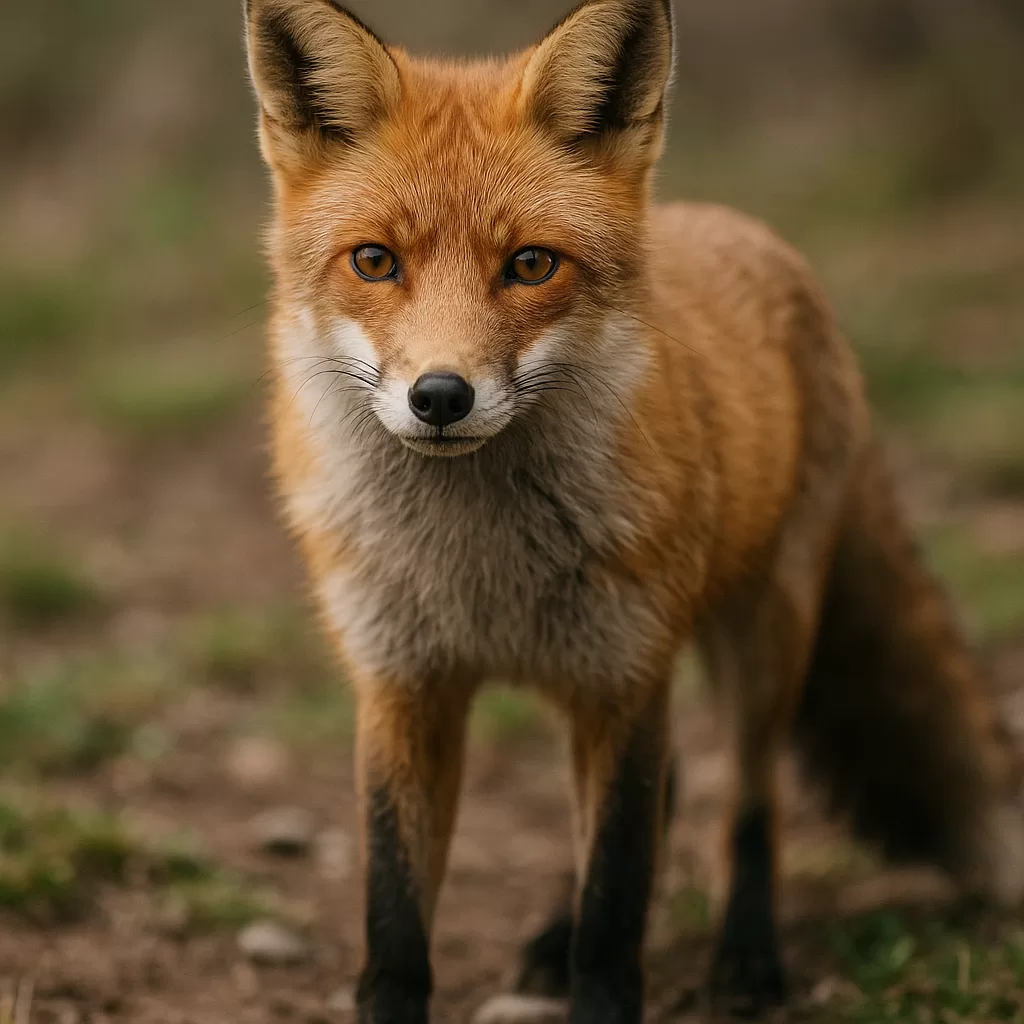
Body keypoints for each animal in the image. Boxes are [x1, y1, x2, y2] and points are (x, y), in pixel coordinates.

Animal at [243, 0, 1024, 1020]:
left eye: (531, 264)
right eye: (374, 262)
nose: (441, 396)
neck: (478, 565)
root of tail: (744, 230)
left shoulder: (620, 677)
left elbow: (616, 901)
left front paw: (607, 979)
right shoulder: (405, 687)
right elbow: (395, 915)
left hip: (760, 638)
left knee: (749, 804)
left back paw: (747, 961)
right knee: (676, 785)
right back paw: (554, 935)